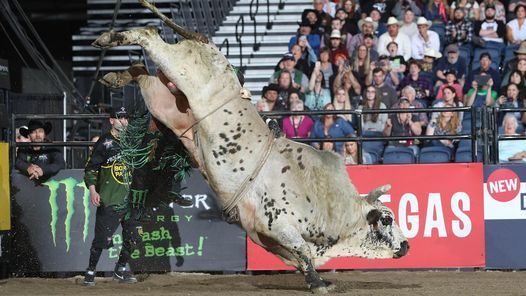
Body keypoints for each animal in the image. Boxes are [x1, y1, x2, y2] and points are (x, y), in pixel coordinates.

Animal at [93, 0, 410, 292]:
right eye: (386, 219)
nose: (407, 246)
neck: (329, 205)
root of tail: (207, 44)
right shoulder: (281, 225)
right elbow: (302, 250)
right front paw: (319, 282)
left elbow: (300, 257)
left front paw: (315, 278)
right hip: (181, 68)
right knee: (149, 36)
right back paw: (109, 39)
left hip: (167, 103)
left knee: (143, 72)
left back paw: (114, 74)